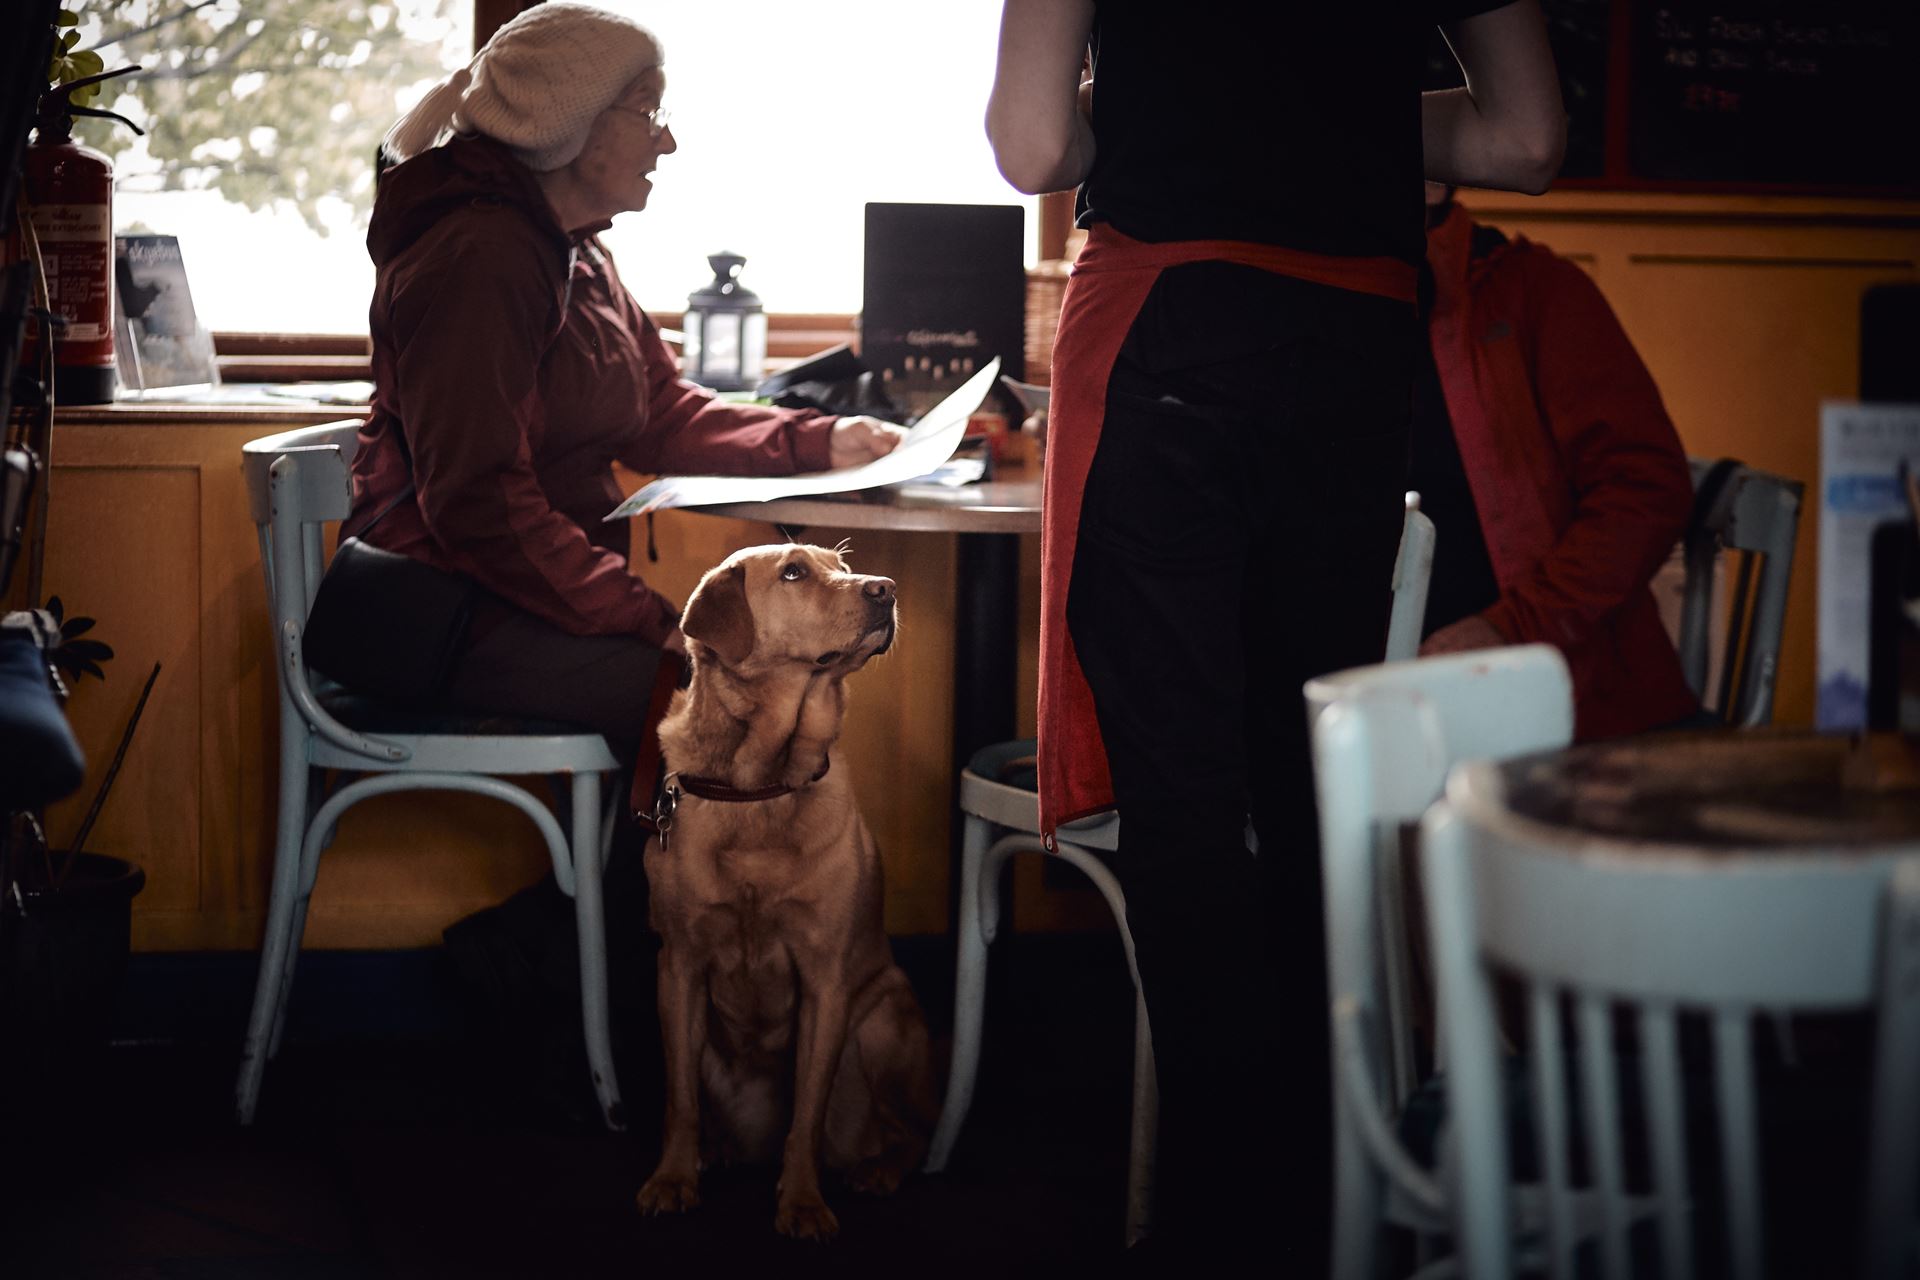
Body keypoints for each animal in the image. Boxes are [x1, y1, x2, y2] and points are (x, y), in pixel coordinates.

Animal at [637, 545, 936, 1243]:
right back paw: (714, 1150)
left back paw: (878, 1171)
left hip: (883, 1021)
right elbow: (680, 1101)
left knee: (912, 1134)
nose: (886, 589)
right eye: (794, 572)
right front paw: (673, 1179)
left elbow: (806, 1113)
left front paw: (801, 1203)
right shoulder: (679, 968)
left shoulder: (825, 980)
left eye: (843, 567)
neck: (760, 786)